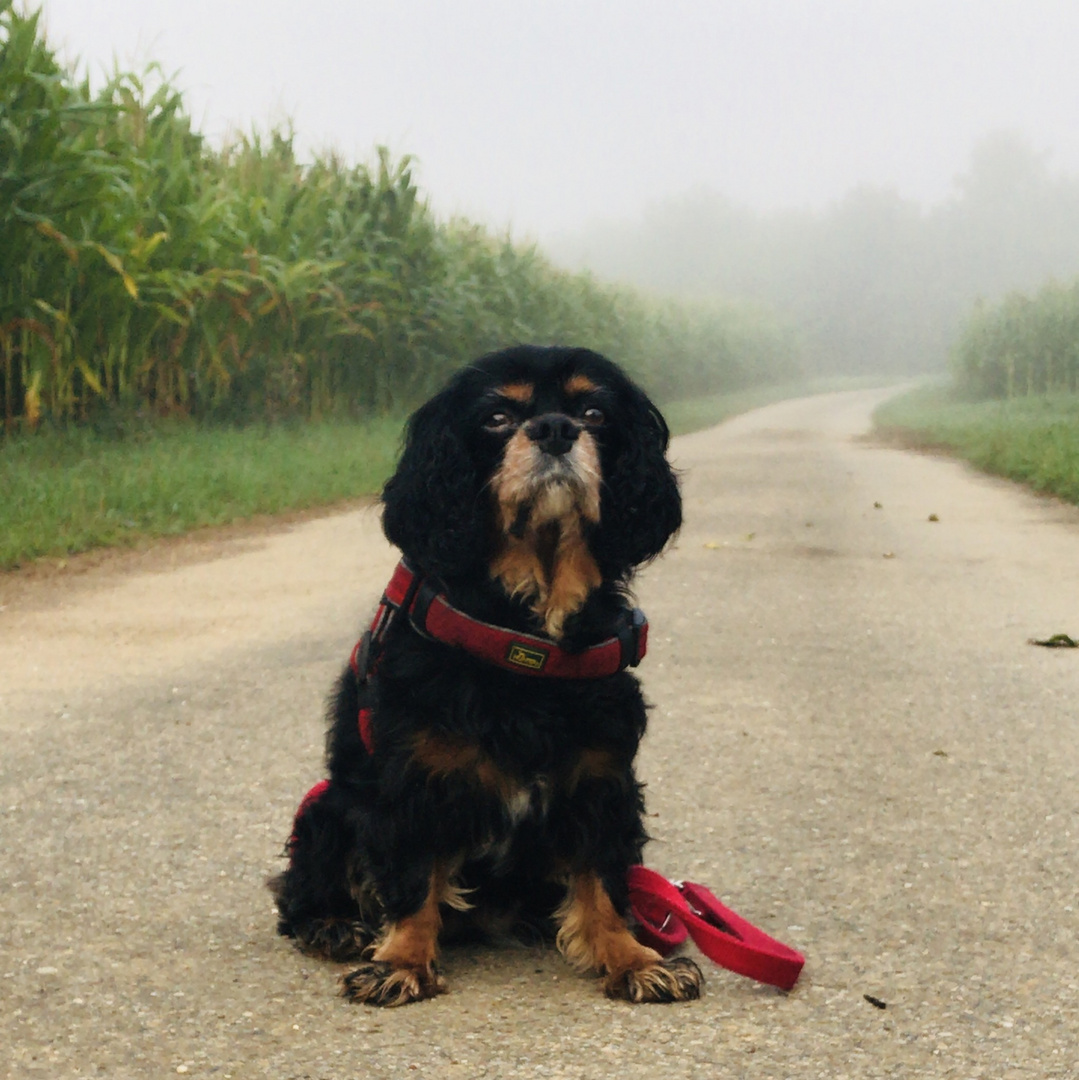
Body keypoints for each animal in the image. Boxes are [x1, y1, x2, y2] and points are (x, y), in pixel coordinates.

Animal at [270, 343, 704, 1002]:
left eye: (595, 412)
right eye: (497, 417)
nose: (555, 429)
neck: (526, 635)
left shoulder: (600, 778)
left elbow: (604, 880)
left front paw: (633, 959)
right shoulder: (412, 782)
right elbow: (412, 878)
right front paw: (401, 961)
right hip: (327, 807)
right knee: (297, 893)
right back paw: (333, 926)